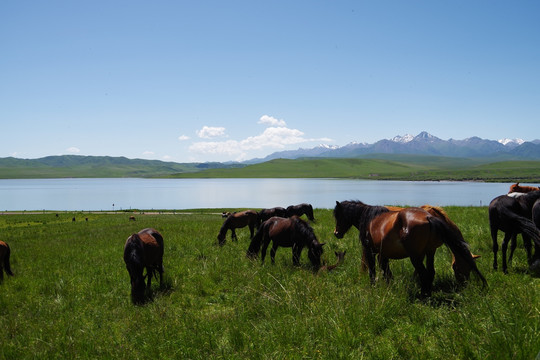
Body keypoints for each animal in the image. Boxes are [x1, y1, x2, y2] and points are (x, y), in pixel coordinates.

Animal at [334, 200, 486, 296]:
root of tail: (429, 217)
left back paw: (424, 294)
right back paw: (426, 292)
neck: (370, 218)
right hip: (426, 253)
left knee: (425, 272)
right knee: (429, 272)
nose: (336, 233)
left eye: (338, 216)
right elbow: (385, 270)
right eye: (457, 267)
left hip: (415, 255)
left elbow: (375, 270)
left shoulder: (372, 251)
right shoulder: (382, 253)